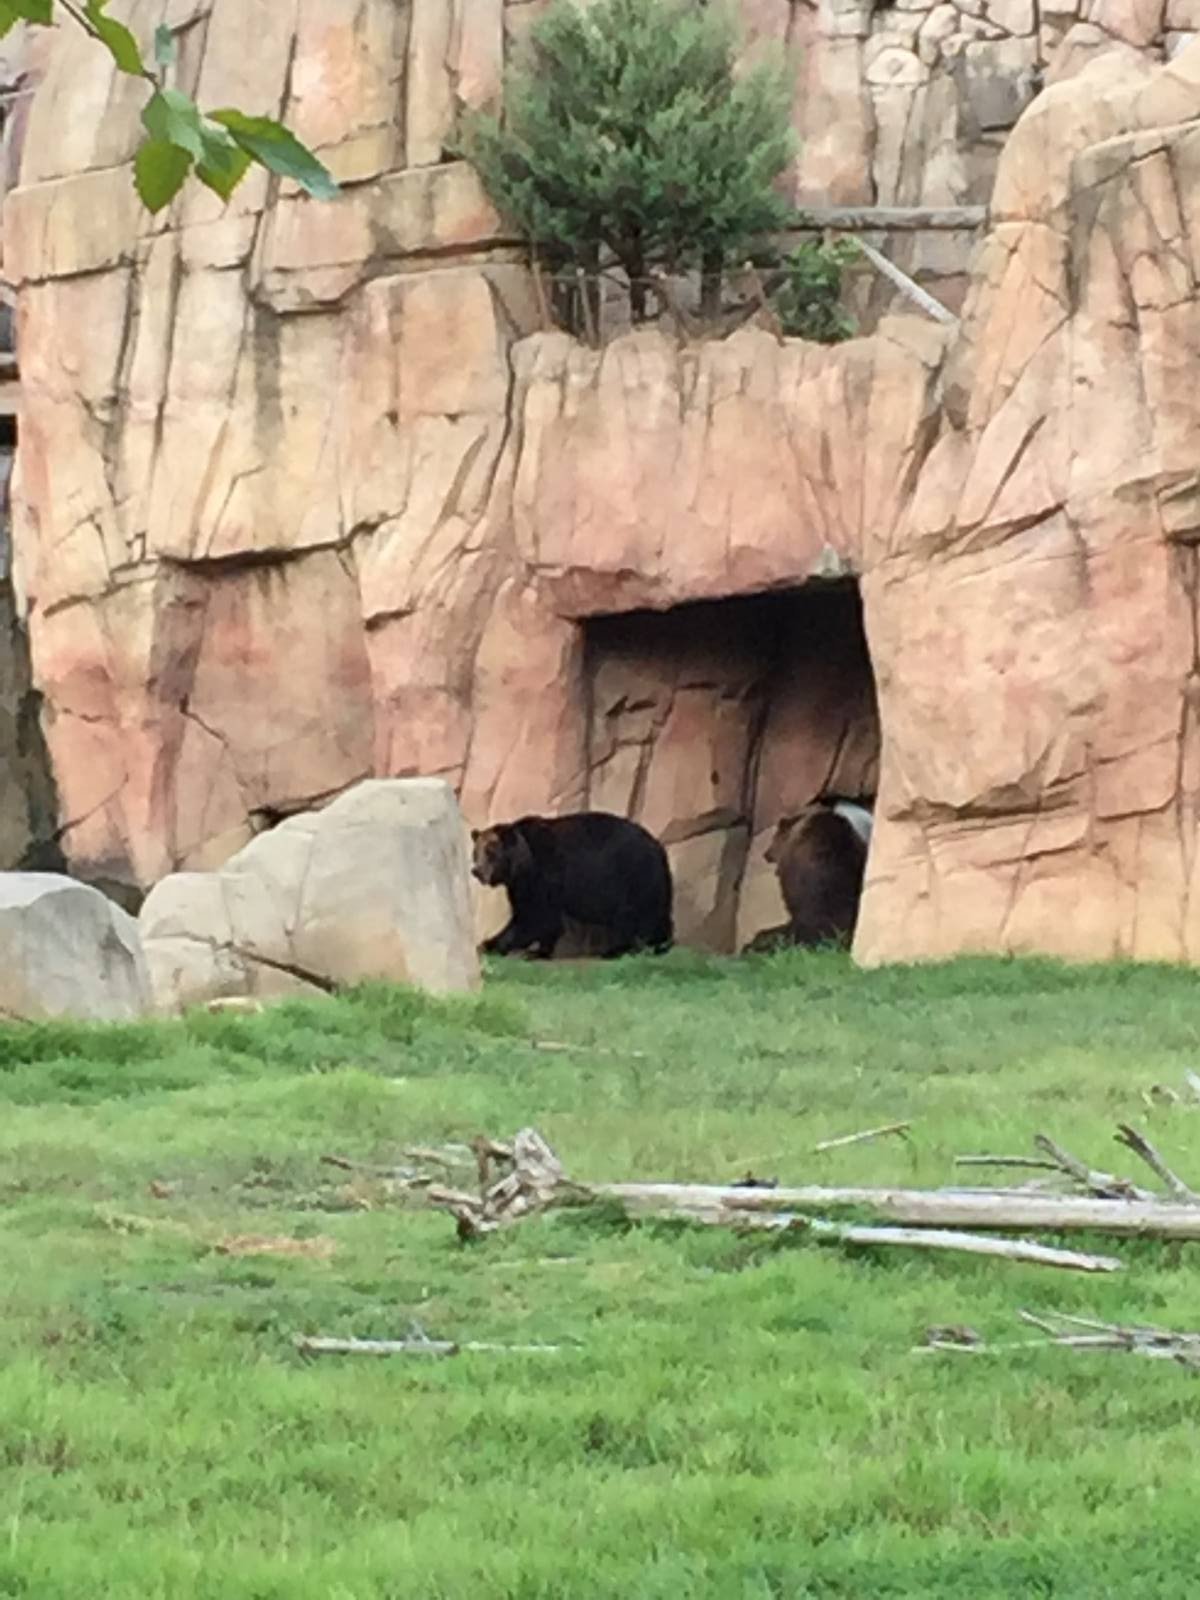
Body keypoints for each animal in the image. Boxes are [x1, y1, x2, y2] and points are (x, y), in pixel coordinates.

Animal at [471, 811, 674, 960]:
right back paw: (658, 944)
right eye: (475, 852)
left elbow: (535, 917)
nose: (476, 871)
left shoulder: (542, 875)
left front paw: (501, 945)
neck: (522, 864)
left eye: (490, 852)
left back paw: (620, 950)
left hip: (632, 875)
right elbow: (533, 916)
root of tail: (658, 847)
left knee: (636, 914)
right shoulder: (520, 884)